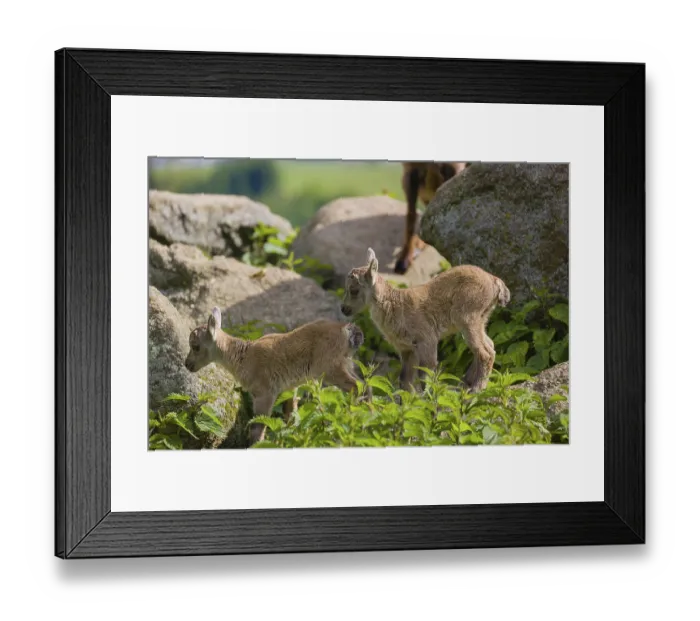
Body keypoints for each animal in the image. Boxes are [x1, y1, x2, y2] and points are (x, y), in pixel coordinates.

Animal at [185, 308, 364, 446]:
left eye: (195, 346)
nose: (187, 364)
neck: (244, 357)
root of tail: (348, 331)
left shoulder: (264, 392)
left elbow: (258, 427)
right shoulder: (290, 387)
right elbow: (291, 414)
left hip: (330, 367)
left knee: (356, 387)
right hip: (347, 363)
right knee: (364, 384)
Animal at [341, 248, 510, 393]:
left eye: (354, 290)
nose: (343, 309)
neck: (396, 306)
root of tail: (495, 282)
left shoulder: (426, 339)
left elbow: (425, 373)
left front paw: (427, 398)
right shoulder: (406, 349)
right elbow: (405, 380)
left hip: (468, 317)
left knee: (485, 353)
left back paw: (477, 388)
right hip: (481, 318)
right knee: (490, 345)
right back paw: (465, 383)